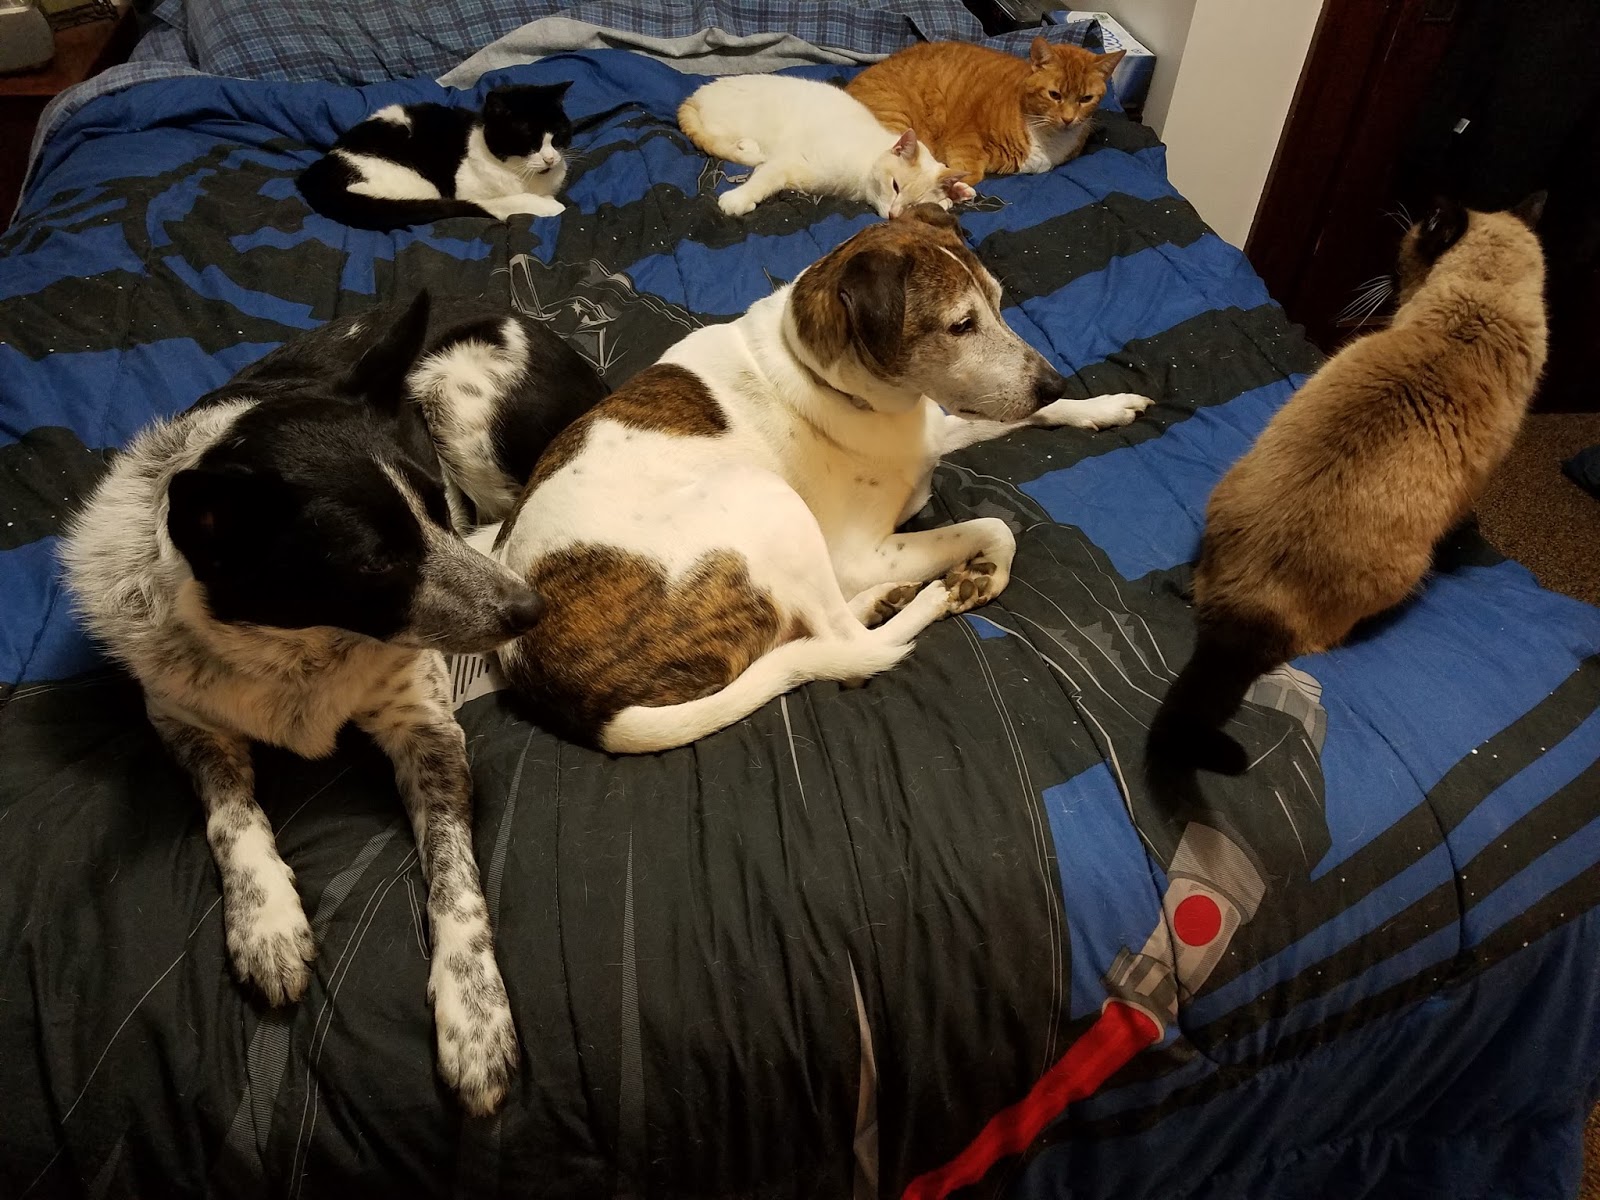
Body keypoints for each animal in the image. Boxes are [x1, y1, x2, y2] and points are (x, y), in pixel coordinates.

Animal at [60, 291, 606, 1115]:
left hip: (462, 398)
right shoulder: (181, 718)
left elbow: (456, 881)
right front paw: (266, 924)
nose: (529, 610)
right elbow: (231, 817)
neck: (297, 647)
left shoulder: (426, 730)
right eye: (374, 563)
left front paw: (475, 1017)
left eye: (434, 508)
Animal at [298, 82, 573, 231]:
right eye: (530, 141)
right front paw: (547, 205)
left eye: (557, 136)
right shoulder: (468, 192)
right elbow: (508, 201)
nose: (550, 159)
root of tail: (317, 173)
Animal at [487, 205, 1154, 752]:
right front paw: (984, 576)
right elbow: (995, 526)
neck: (826, 375)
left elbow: (1016, 421)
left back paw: (889, 599)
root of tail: (558, 690)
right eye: (960, 325)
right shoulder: (861, 551)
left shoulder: (936, 427)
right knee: (850, 646)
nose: (1054, 381)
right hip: (768, 502)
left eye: (997, 301)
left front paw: (1099, 407)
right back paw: (927, 598)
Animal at [677, 74, 972, 218]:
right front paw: (738, 200)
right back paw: (748, 148)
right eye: (895, 186)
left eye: (914, 206)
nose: (892, 215)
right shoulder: (789, 161)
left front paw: (955, 193)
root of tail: (696, 94)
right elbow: (763, 179)